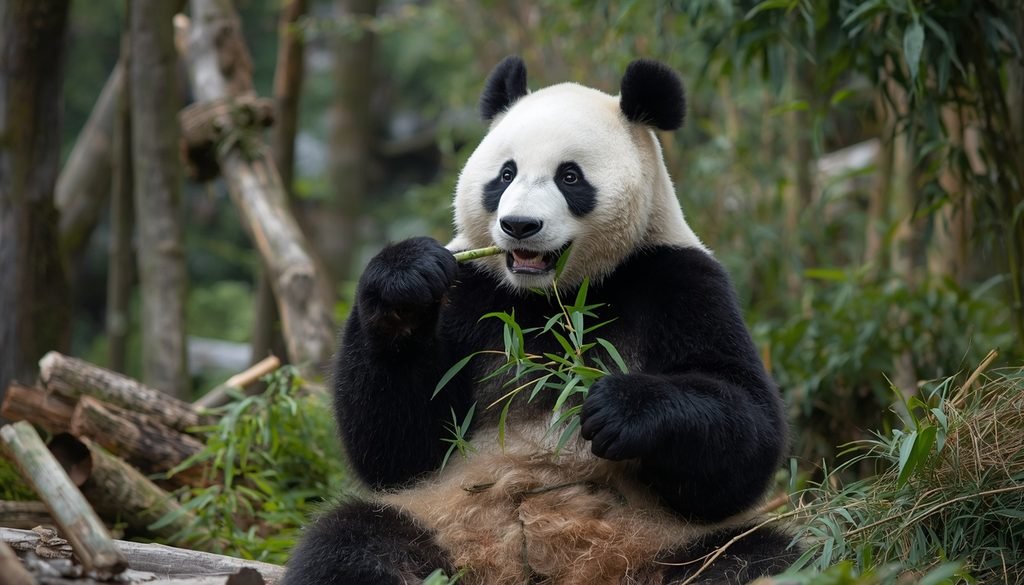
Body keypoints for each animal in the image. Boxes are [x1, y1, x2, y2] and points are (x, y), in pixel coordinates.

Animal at [283, 57, 796, 585]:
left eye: (570, 177)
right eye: (505, 174)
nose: (520, 226)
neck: (554, 297)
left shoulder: (679, 281)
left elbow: (744, 434)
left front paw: (618, 408)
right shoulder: (472, 292)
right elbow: (399, 448)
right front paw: (406, 280)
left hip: (666, 544)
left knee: (754, 558)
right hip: (440, 523)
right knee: (354, 542)